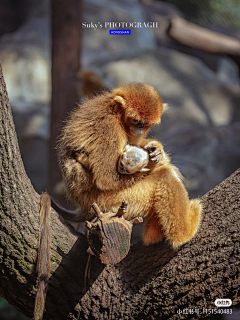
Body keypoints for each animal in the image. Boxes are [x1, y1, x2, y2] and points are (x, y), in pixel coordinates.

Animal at [57, 83, 202, 248]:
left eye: (146, 124)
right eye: (135, 120)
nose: (140, 129)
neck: (114, 112)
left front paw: (157, 151)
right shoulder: (107, 125)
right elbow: (107, 179)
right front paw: (154, 162)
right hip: (111, 201)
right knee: (165, 175)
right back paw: (184, 234)